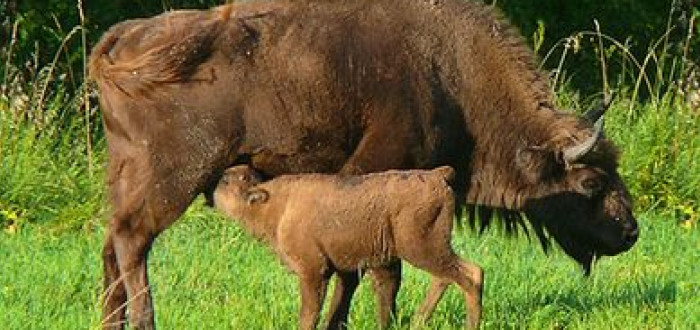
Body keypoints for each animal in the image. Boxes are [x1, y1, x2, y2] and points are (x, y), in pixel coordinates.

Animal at [213, 166, 484, 328]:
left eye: (226, 182)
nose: (214, 189)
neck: (276, 205)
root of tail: (437, 175)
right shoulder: (347, 271)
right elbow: (338, 308)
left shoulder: (314, 272)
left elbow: (310, 313)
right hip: (431, 249)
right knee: (447, 277)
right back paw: (418, 321)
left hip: (420, 248)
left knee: (471, 274)